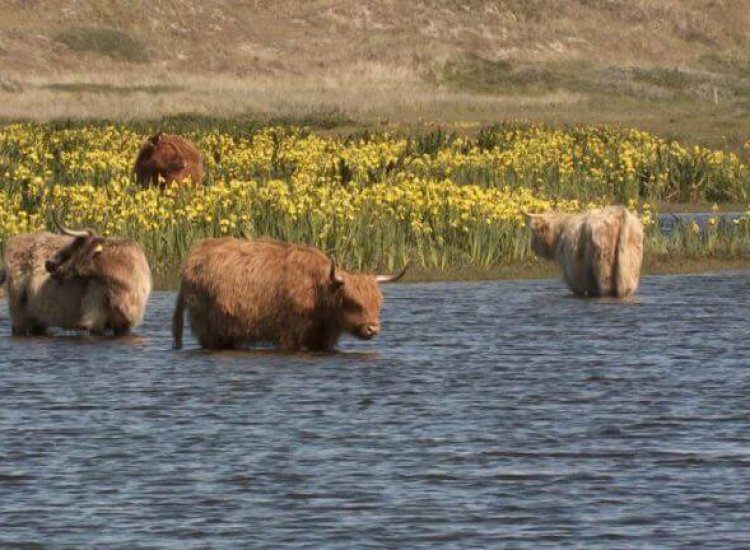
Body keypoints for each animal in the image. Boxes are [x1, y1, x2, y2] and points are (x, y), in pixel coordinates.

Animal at [2, 220, 153, 336]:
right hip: (19, 313)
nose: (48, 264)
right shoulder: (93, 319)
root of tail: (16, 241)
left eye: (70, 251)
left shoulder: (125, 324)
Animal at [173, 239, 408, 352]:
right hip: (209, 331)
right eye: (353, 303)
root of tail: (192, 260)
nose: (373, 329)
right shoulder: (289, 334)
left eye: (378, 304)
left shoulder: (322, 339)